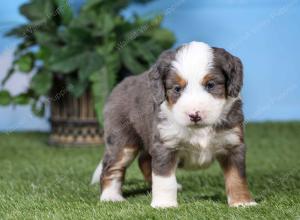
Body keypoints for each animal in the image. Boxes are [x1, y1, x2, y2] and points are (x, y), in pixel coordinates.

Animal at [91, 40, 255, 208]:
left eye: (211, 85)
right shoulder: (165, 144)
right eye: (177, 88)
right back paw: (110, 197)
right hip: (122, 141)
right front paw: (164, 205)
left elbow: (236, 177)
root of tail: (120, 85)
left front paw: (242, 203)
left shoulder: (233, 143)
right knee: (112, 167)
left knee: (144, 161)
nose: (194, 115)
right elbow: (164, 179)